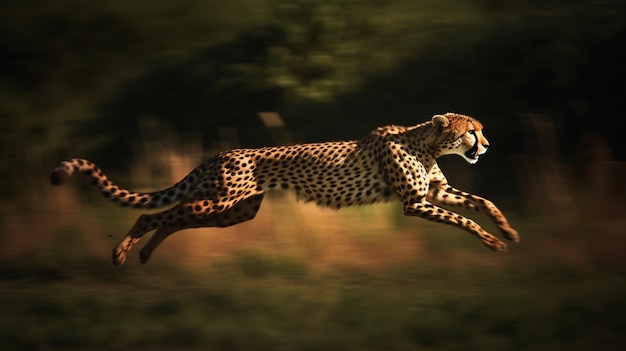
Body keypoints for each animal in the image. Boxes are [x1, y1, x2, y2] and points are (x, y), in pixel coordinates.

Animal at [50, 114, 516, 266]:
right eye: (471, 131)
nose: (489, 145)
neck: (426, 142)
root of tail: (221, 153)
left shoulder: (434, 194)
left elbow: (482, 201)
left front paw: (507, 231)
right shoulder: (416, 203)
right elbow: (463, 219)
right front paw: (493, 242)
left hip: (235, 211)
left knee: (172, 219)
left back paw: (145, 254)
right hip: (219, 201)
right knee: (155, 213)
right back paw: (122, 251)